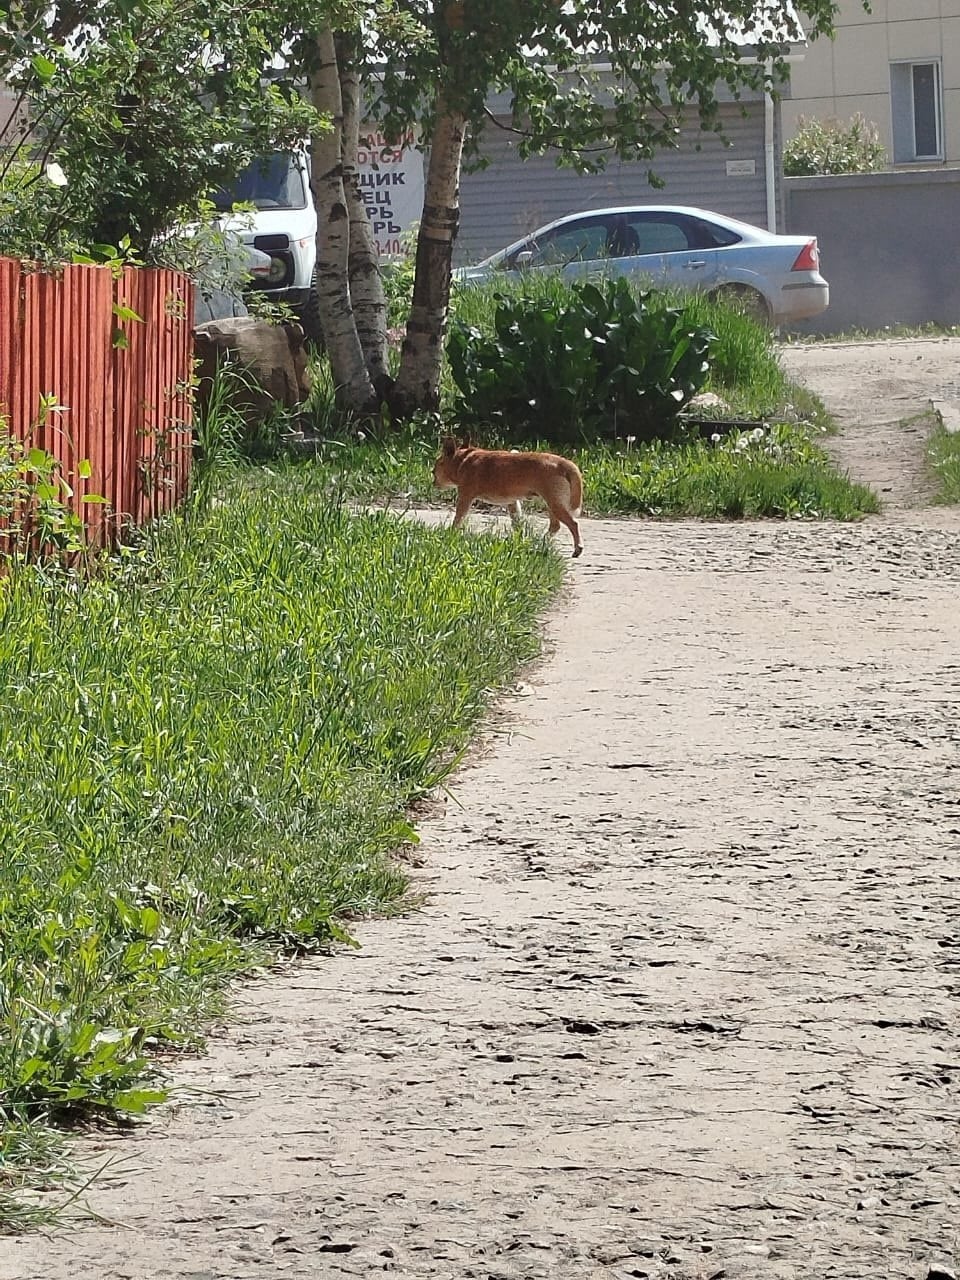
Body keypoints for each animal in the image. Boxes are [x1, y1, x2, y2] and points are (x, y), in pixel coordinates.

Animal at [435, 437, 586, 558]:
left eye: (435, 468)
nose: (433, 479)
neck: (462, 461)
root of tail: (564, 462)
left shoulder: (465, 496)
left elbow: (458, 518)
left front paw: (450, 534)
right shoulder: (513, 503)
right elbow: (517, 523)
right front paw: (519, 541)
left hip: (555, 504)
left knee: (573, 524)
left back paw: (577, 548)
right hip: (552, 504)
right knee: (555, 526)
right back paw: (540, 543)